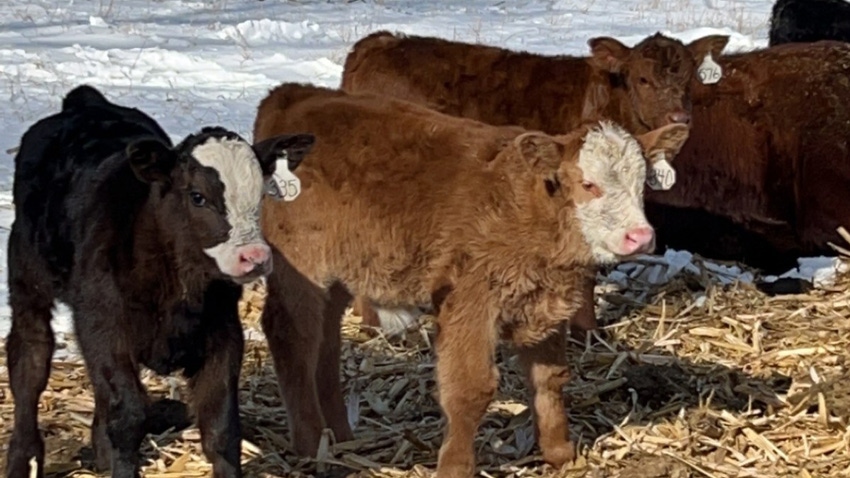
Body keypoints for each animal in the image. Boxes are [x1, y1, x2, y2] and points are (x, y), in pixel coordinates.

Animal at [4, 86, 314, 478]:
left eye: (260, 196)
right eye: (197, 196)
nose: (255, 257)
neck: (178, 290)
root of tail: (86, 103)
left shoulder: (223, 331)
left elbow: (220, 425)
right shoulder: (103, 326)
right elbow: (128, 416)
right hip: (28, 279)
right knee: (29, 360)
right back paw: (22, 459)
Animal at [253, 84, 688, 478]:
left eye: (642, 183)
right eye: (587, 184)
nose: (640, 236)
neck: (528, 208)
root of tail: (294, 94)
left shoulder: (543, 303)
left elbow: (549, 380)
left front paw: (561, 454)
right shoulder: (470, 302)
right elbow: (470, 389)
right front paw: (455, 466)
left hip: (341, 273)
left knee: (325, 341)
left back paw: (340, 437)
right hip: (301, 265)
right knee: (292, 336)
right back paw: (311, 444)